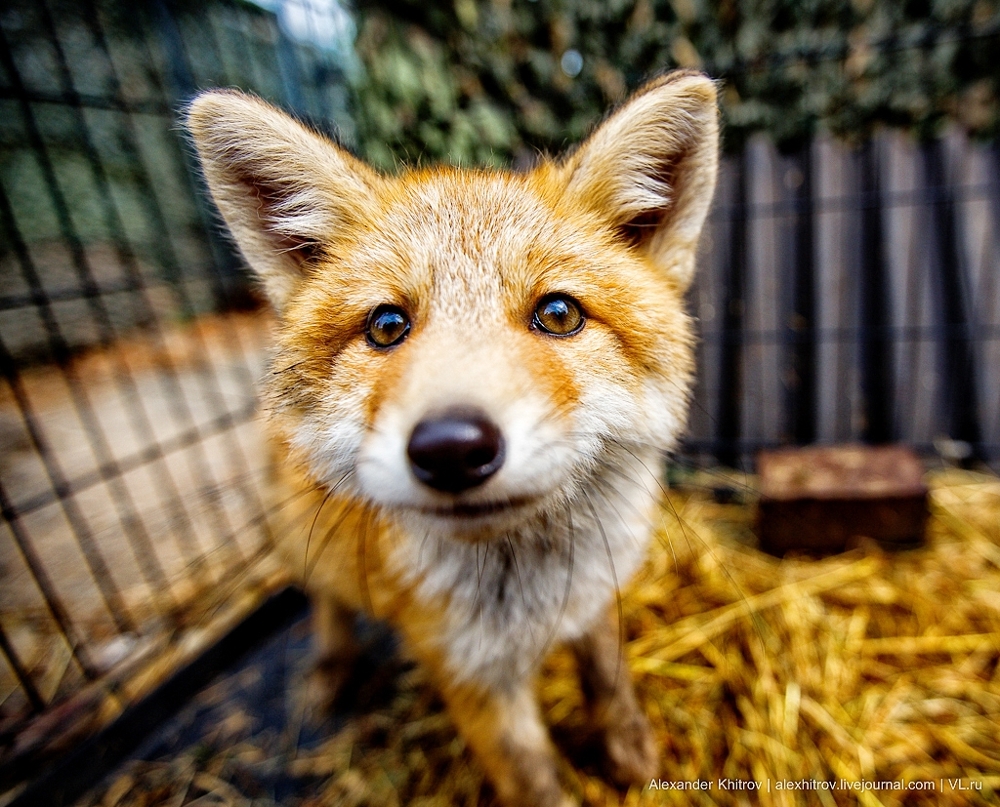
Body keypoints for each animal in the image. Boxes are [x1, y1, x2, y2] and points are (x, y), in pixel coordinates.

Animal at [186, 71, 720, 807]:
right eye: (386, 326)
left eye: (559, 314)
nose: (451, 447)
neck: (530, 591)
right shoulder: (470, 675)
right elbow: (534, 780)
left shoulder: (596, 600)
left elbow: (611, 686)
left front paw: (634, 762)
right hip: (299, 538)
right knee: (323, 597)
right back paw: (332, 666)